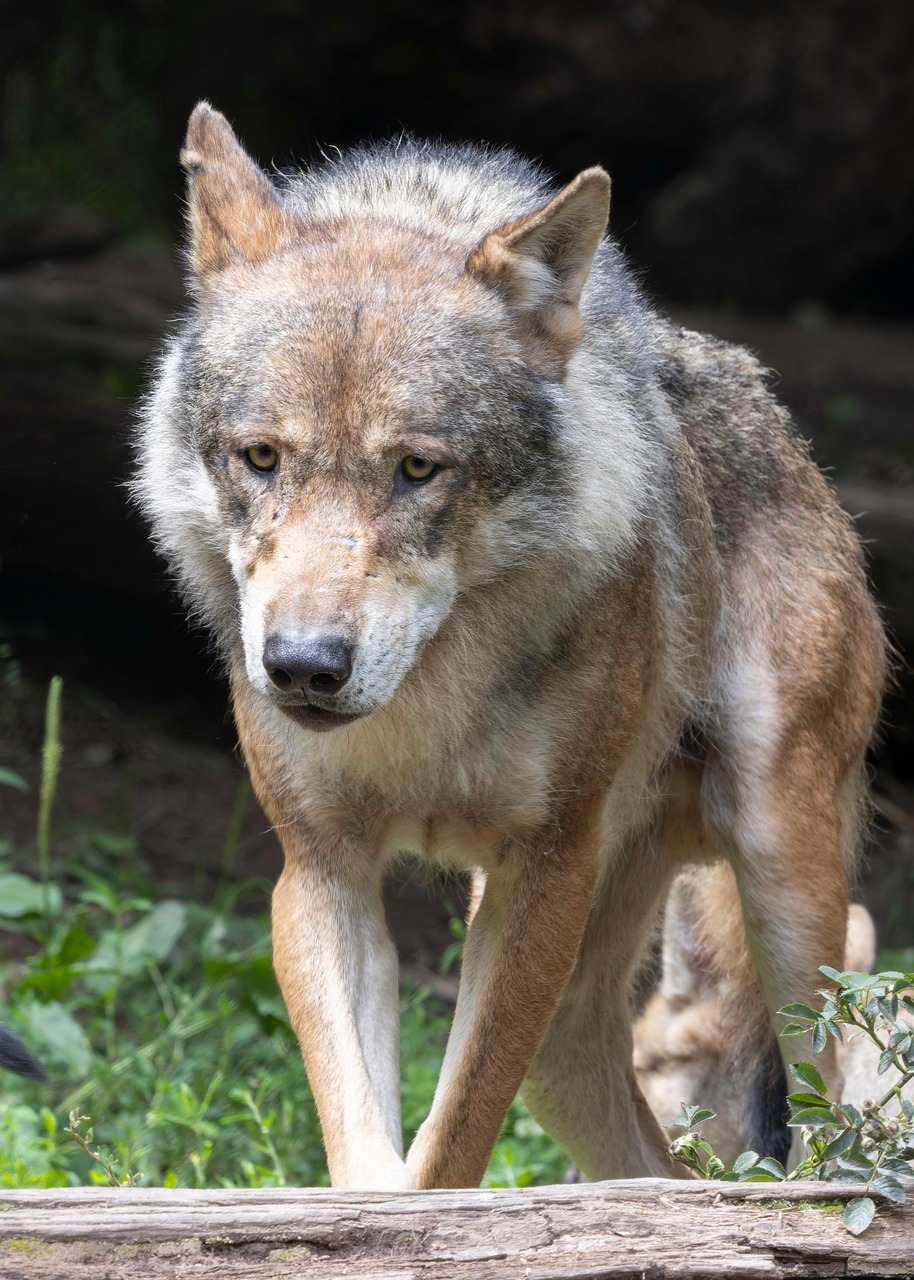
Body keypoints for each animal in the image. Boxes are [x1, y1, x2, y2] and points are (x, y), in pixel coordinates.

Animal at [134, 102, 886, 1190]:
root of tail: (785, 430)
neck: (424, 711)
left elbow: (449, 1144)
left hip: (781, 885)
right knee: (654, 1162)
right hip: (569, 1050)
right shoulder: (321, 871)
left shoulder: (545, 866)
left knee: (834, 1113)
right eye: (262, 457)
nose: (304, 665)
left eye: (417, 468)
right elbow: (367, 1148)